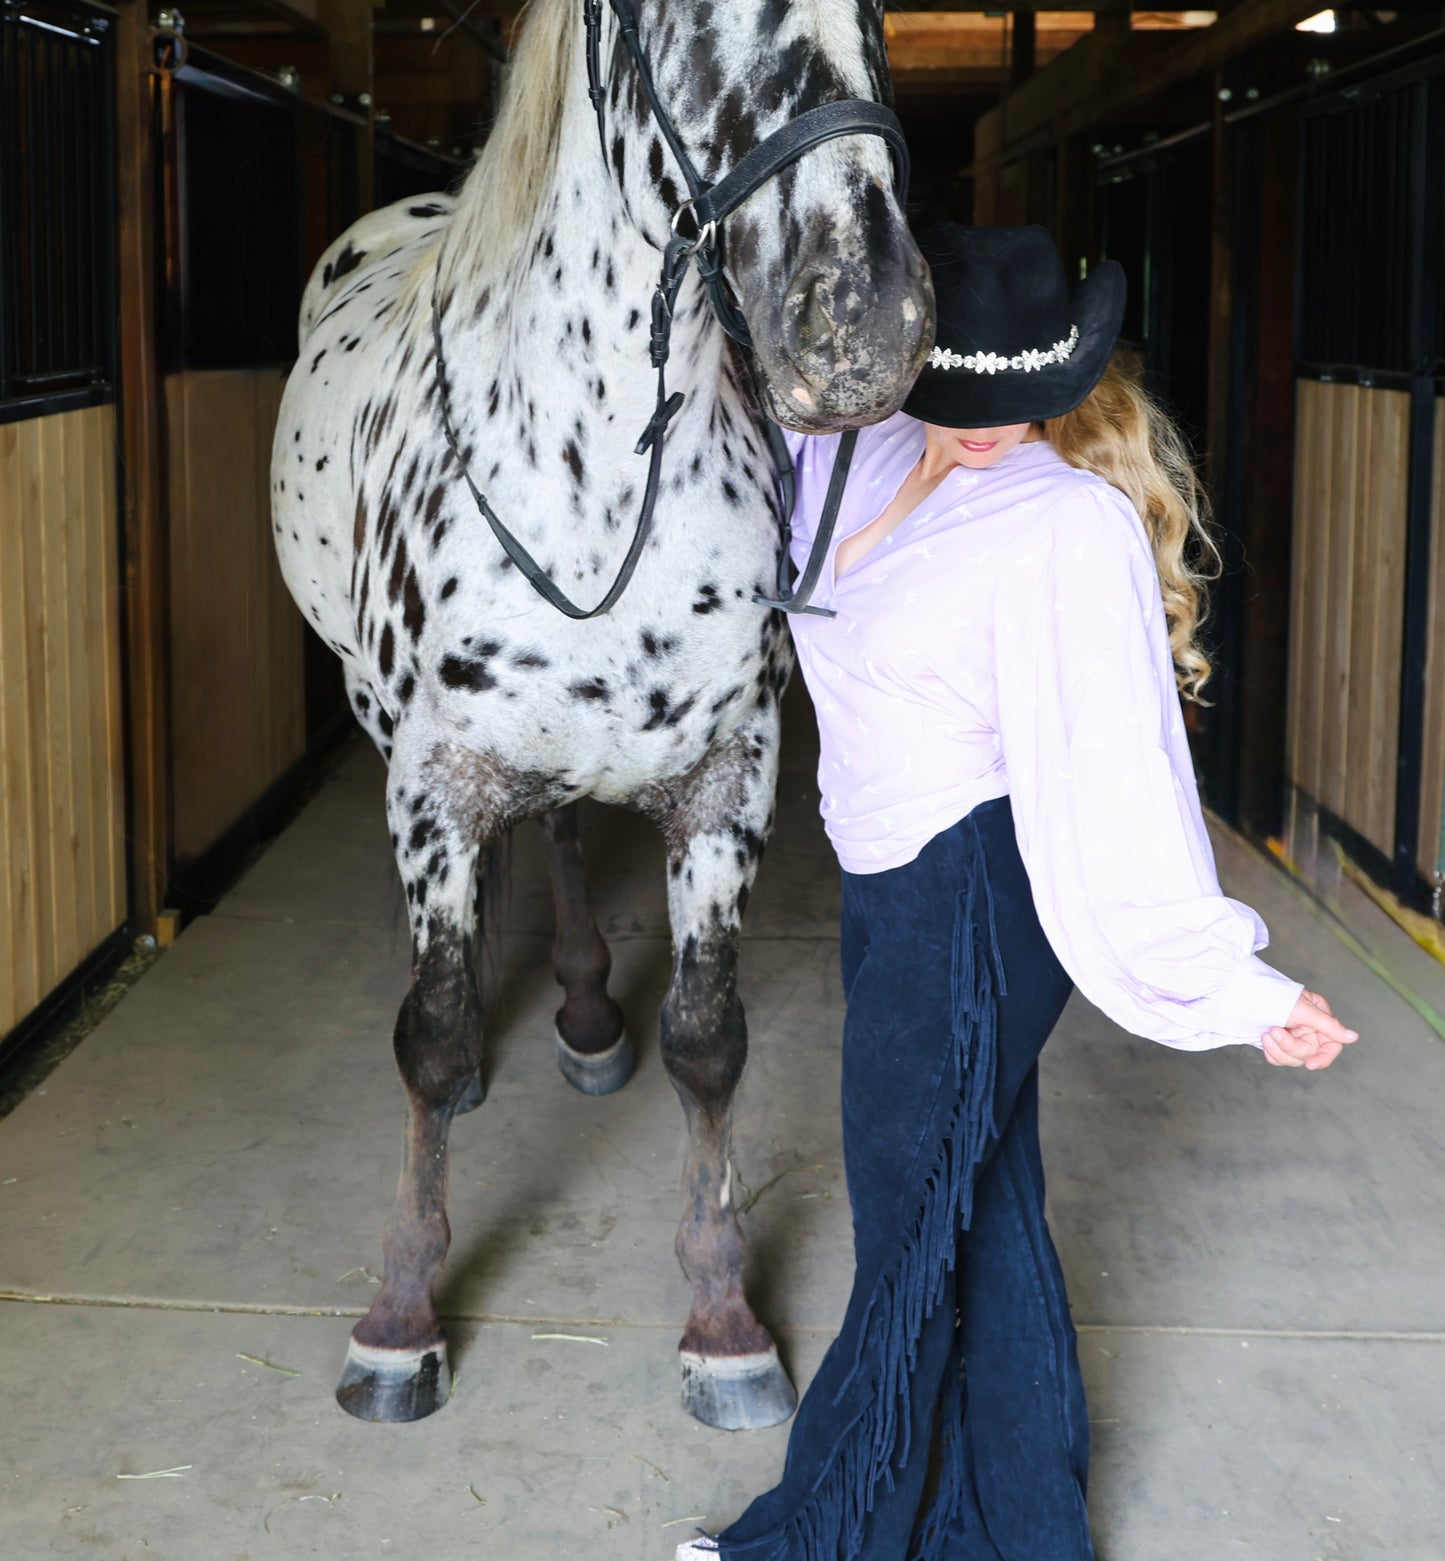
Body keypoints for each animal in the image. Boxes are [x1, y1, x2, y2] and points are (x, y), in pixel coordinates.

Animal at [272, 0, 931, 1429]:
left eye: (878, 16)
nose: (863, 318)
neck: (587, 472)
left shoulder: (729, 783)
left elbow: (707, 1041)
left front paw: (724, 1320)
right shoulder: (433, 784)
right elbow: (429, 1031)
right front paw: (399, 1320)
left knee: (567, 833)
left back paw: (581, 1015)